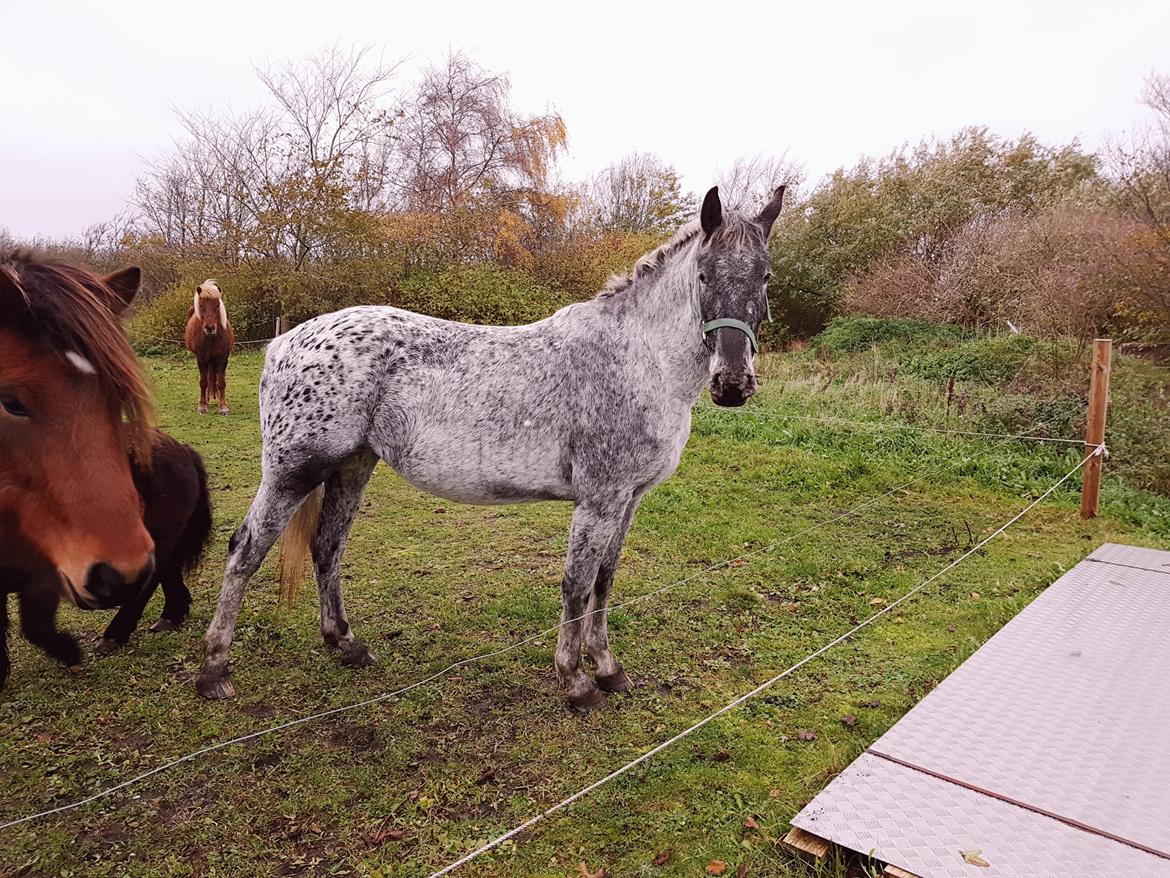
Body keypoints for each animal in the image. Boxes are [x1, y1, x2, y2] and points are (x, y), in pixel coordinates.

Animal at [198, 182, 786, 711]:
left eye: (765, 276)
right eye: (704, 275)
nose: (733, 384)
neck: (637, 360)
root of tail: (285, 341)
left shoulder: (629, 499)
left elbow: (605, 578)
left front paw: (609, 668)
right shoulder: (599, 499)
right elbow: (576, 583)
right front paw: (576, 681)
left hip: (352, 466)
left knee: (327, 547)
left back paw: (347, 646)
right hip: (293, 471)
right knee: (245, 550)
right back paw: (215, 671)